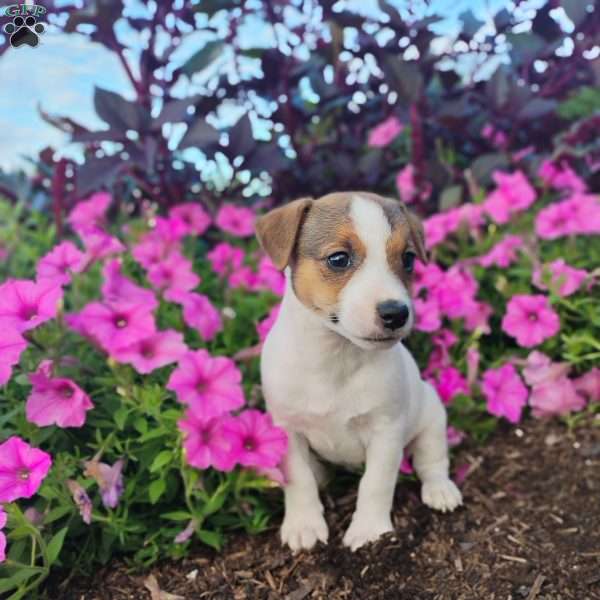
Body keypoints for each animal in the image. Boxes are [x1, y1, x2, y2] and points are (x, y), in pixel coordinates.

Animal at [255, 190, 462, 552]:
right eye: (339, 259)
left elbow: (375, 484)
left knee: (431, 459)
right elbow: (300, 480)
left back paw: (440, 489)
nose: (396, 313)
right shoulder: (287, 430)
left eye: (408, 259)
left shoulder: (386, 431)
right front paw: (303, 525)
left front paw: (369, 532)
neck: (334, 356)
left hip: (432, 417)